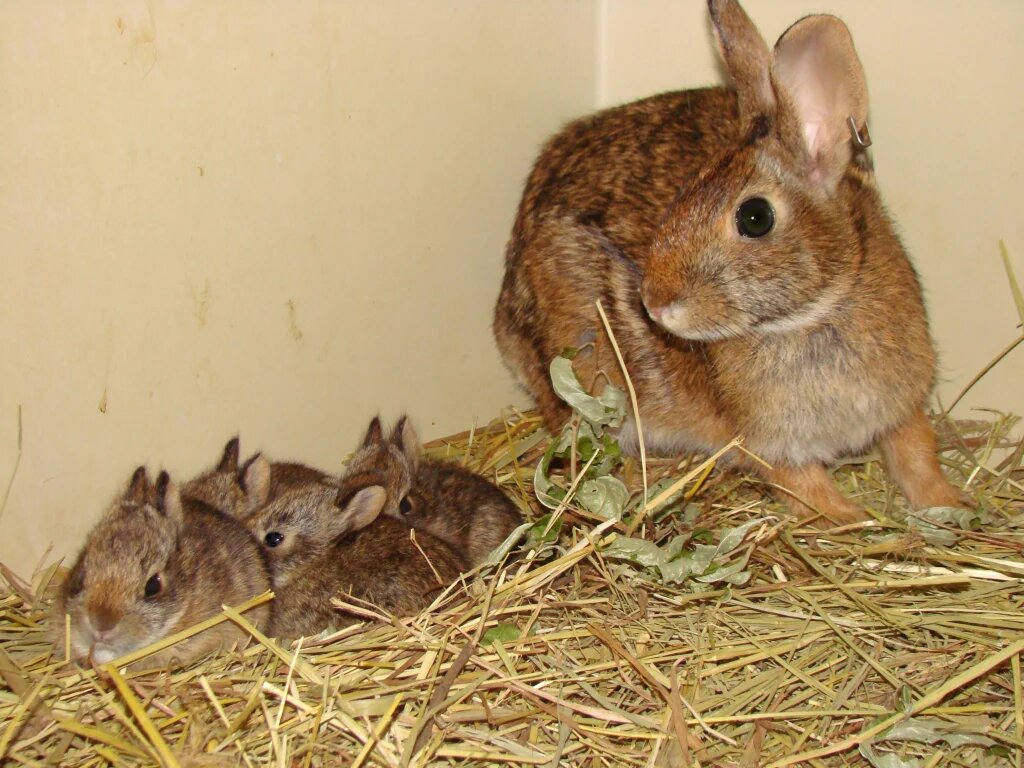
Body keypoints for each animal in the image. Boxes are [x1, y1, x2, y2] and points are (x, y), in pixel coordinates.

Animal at [491, 0, 962, 528]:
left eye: (755, 218)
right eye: (686, 189)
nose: (654, 302)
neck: (820, 310)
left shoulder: (901, 406)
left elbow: (917, 452)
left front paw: (951, 503)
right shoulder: (770, 441)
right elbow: (804, 487)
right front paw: (853, 518)